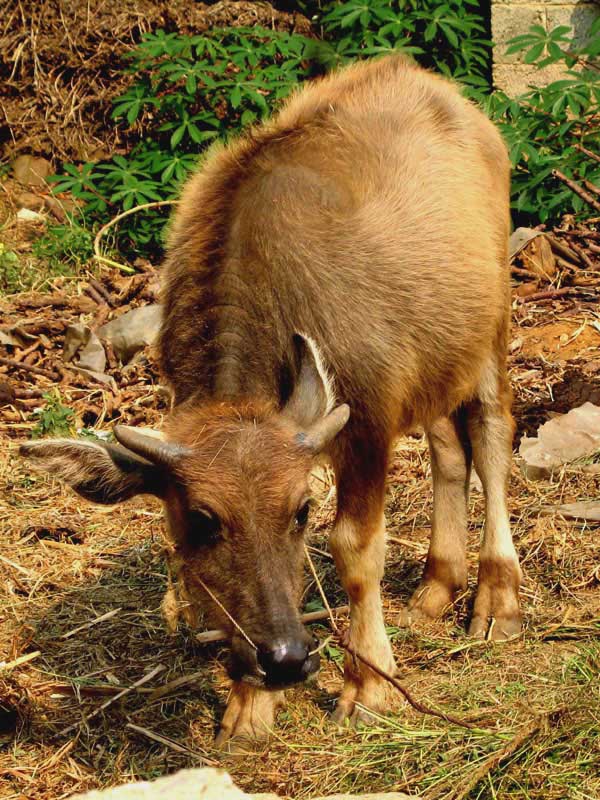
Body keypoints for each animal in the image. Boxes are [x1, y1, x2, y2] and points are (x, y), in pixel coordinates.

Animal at [21, 56, 520, 752]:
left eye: (301, 510)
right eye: (202, 520)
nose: (285, 658)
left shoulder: (365, 425)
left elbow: (355, 550)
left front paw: (368, 686)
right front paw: (249, 705)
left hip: (491, 334)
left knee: (493, 436)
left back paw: (496, 598)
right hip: (435, 360)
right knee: (449, 450)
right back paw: (436, 587)